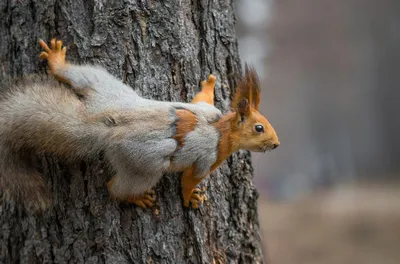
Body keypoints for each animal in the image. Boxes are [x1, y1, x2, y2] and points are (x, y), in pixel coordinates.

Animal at [0, 38, 280, 212]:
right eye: (259, 128)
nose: (276, 144)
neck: (221, 129)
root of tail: (108, 125)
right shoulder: (208, 158)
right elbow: (189, 179)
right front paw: (190, 197)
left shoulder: (207, 109)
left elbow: (201, 99)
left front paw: (209, 84)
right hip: (144, 163)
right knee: (115, 188)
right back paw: (136, 198)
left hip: (106, 86)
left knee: (77, 76)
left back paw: (57, 61)